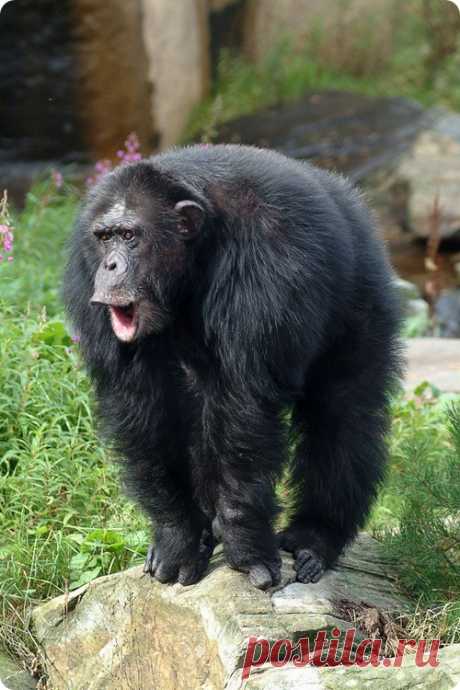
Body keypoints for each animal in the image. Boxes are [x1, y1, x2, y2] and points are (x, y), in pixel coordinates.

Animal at [63, 144, 402, 584]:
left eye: (130, 236)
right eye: (105, 238)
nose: (111, 265)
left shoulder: (269, 260)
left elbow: (245, 403)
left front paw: (246, 546)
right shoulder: (83, 265)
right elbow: (140, 405)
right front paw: (179, 539)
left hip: (365, 290)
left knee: (343, 413)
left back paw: (315, 538)